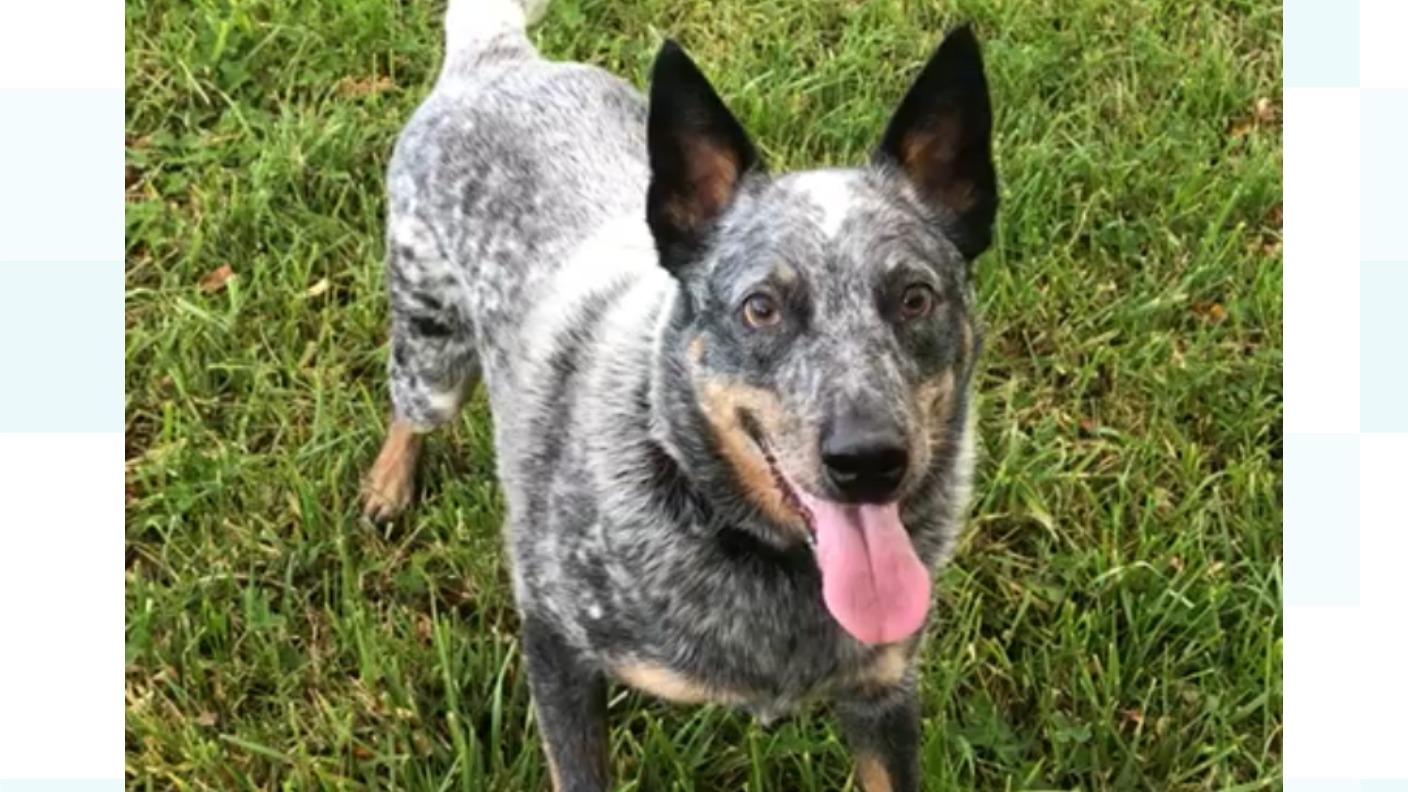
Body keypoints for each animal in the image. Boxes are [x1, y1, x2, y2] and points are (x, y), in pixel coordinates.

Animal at [361, 0, 997, 788]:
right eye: (761, 307)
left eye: (915, 297)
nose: (870, 459)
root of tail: (498, 57)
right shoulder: (557, 643)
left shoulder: (883, 692)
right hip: (433, 349)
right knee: (411, 409)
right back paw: (388, 483)